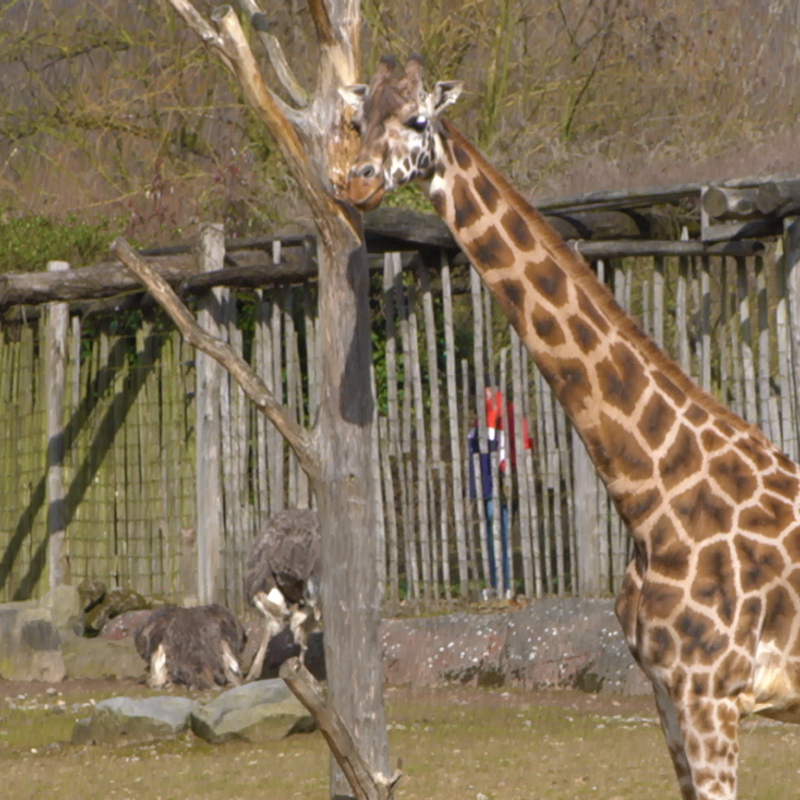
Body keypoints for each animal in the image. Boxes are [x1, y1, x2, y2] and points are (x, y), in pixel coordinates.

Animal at [340, 56, 800, 800]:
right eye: (358, 118)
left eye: (418, 118)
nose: (354, 181)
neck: (652, 496)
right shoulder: (668, 697)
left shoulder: (711, 697)